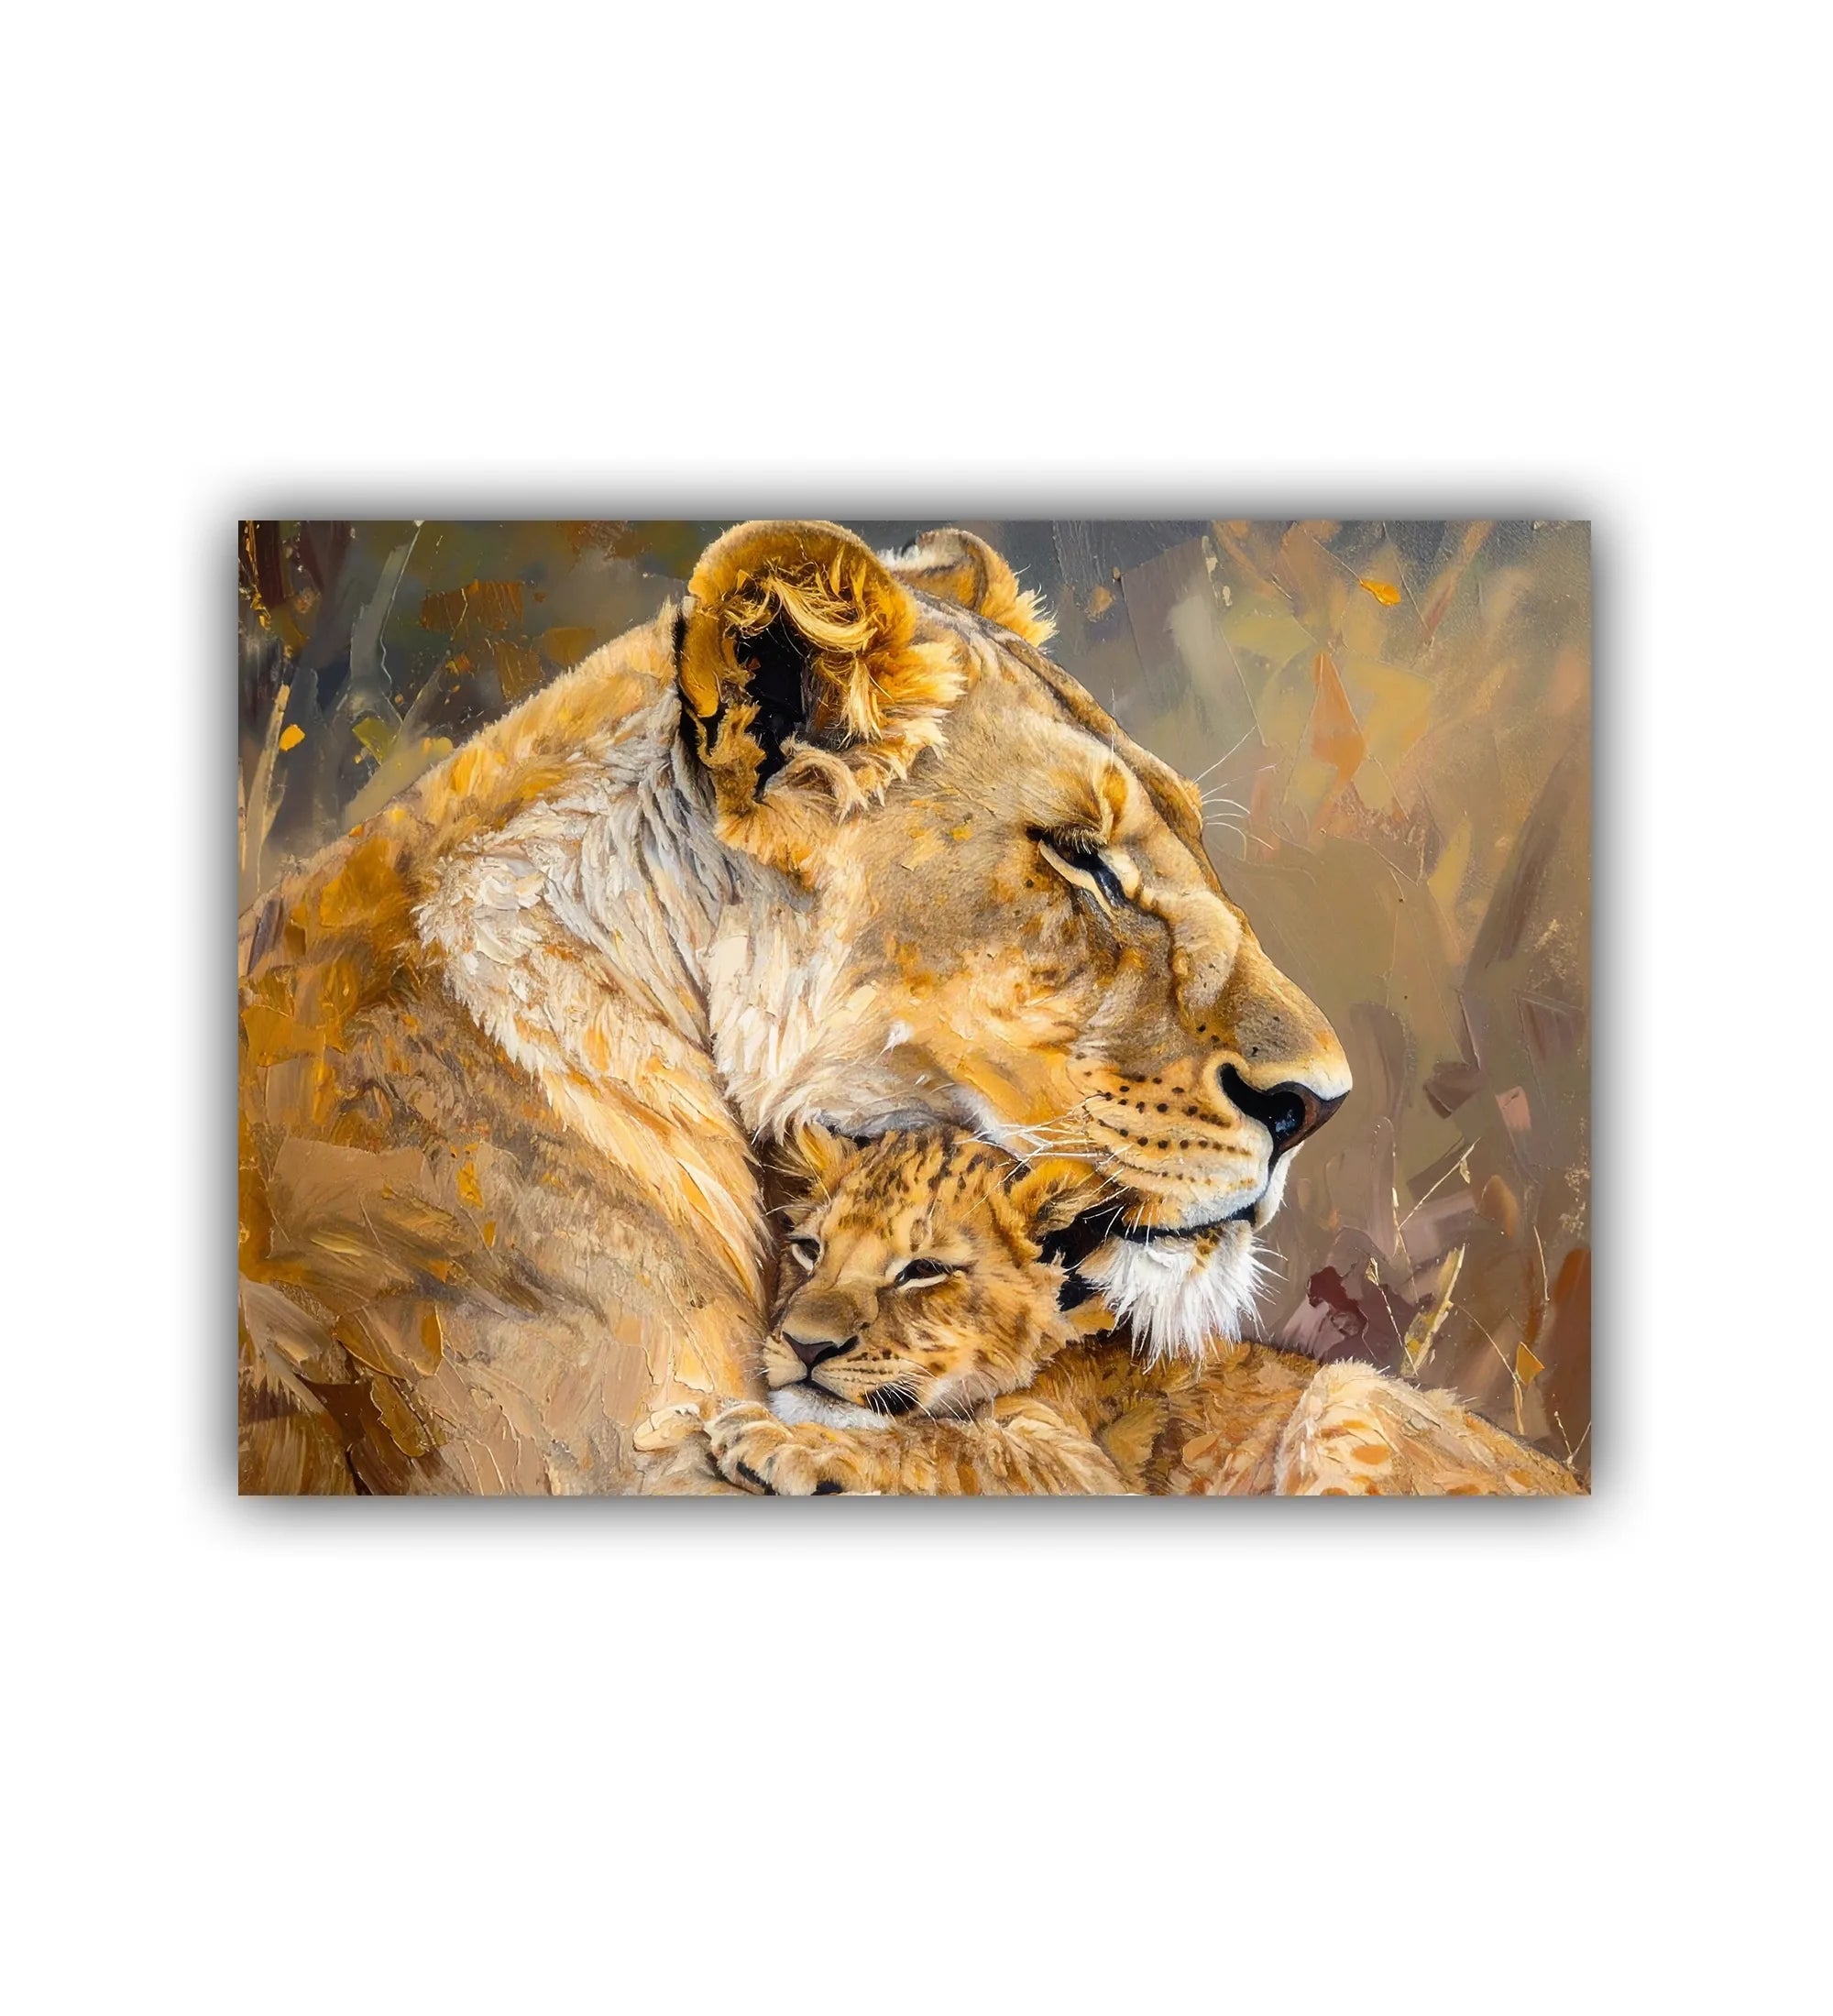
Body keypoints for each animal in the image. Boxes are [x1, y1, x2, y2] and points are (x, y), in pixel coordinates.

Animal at [700, 1126, 1583, 1496]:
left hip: (1350, 1391)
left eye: (923, 1271)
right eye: (809, 1250)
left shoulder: (1086, 1474)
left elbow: (936, 1447)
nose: (803, 1346)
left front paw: (778, 1438)